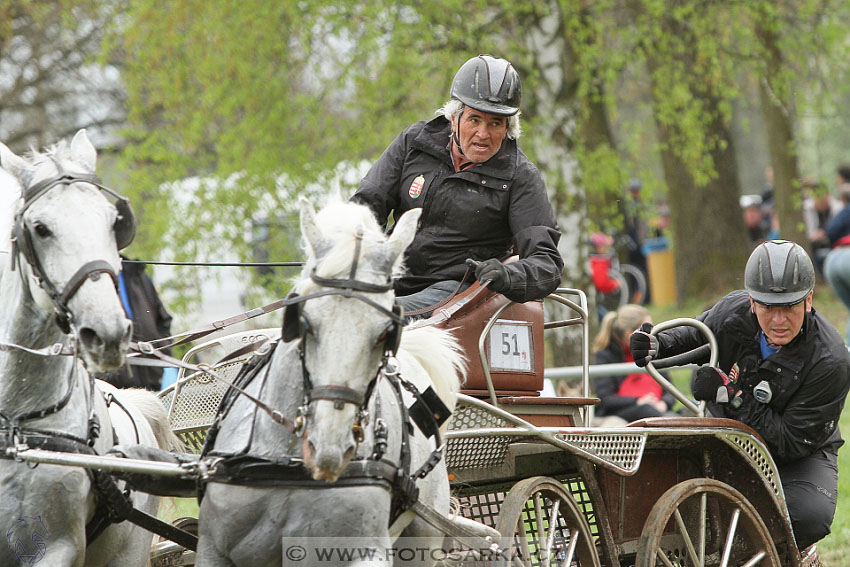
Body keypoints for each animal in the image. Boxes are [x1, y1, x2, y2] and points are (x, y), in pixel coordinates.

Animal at [195, 199, 464, 564]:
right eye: (303, 321)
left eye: (385, 331)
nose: (329, 447)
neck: (290, 465)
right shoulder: (212, 547)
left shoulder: (364, 550)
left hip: (425, 533)